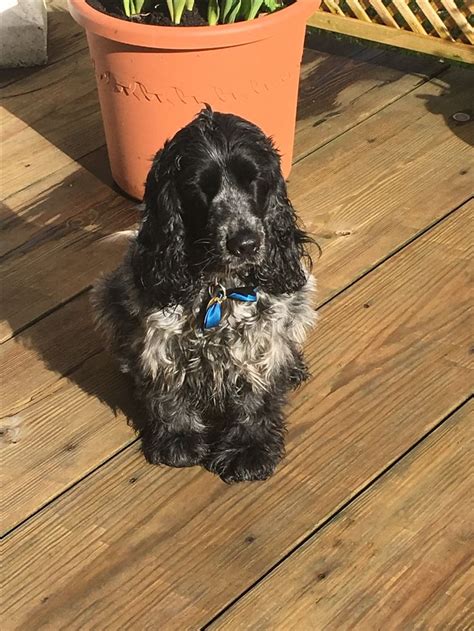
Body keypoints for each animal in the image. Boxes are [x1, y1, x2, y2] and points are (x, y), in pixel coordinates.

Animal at [91, 108, 314, 484]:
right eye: (200, 187)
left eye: (254, 180)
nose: (245, 244)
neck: (218, 287)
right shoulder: (159, 333)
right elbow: (167, 387)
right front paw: (178, 438)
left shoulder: (261, 336)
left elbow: (257, 394)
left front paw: (248, 449)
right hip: (109, 297)